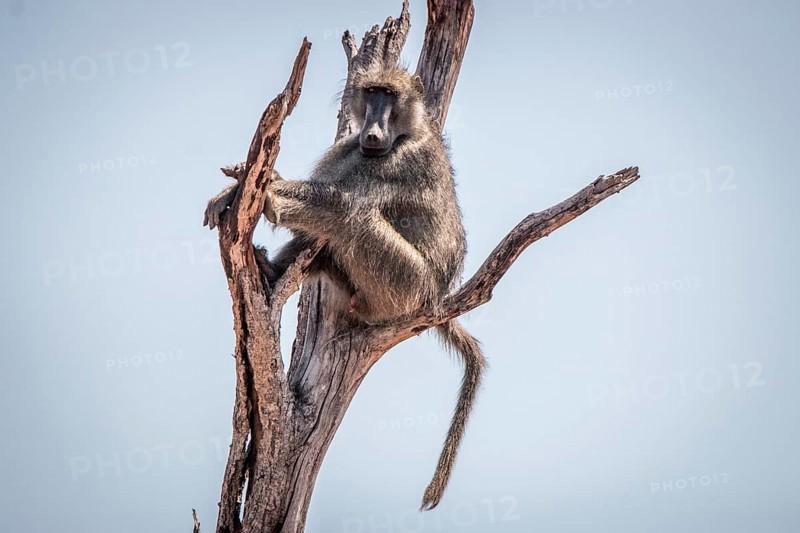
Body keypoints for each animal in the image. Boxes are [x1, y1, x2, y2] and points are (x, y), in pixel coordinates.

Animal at [204, 65, 486, 511]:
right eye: (371, 93)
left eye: (389, 95)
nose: (371, 133)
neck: (404, 135)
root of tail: (437, 299)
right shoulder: (347, 149)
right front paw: (234, 191)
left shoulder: (402, 161)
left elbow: (343, 202)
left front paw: (267, 195)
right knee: (325, 238)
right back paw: (270, 272)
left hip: (403, 288)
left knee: (353, 216)